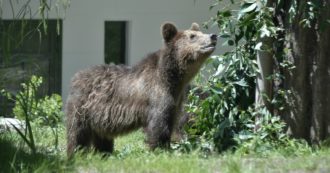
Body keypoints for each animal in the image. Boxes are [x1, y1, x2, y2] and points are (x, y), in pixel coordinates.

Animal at [65, 21, 218, 157]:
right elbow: (159, 128)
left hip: (101, 117)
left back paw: (104, 153)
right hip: (83, 108)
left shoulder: (176, 103)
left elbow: (173, 124)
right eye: (192, 36)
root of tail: (76, 77)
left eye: (200, 32)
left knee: (103, 138)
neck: (171, 78)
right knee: (77, 134)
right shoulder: (157, 98)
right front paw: (160, 150)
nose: (213, 36)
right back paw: (75, 154)